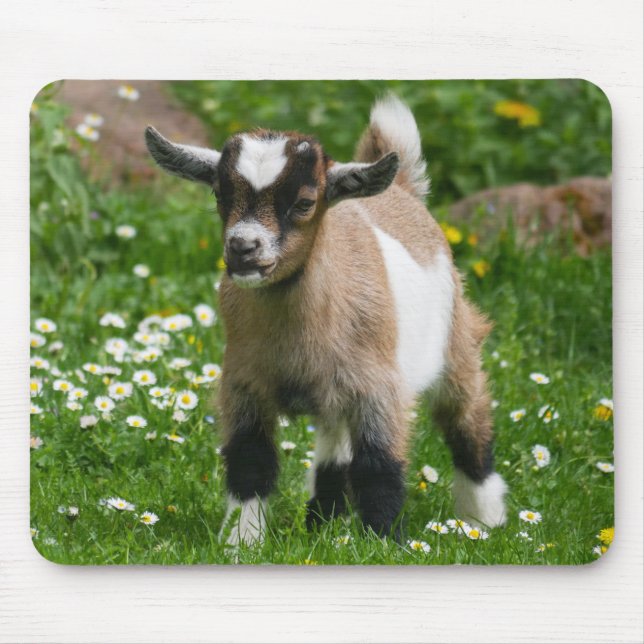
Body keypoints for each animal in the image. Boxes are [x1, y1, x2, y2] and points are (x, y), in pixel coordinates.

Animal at [145, 94, 507, 546]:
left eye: (304, 202)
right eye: (219, 194)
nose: (243, 248)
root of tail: (403, 190)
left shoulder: (379, 388)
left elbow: (379, 466)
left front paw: (384, 542)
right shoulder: (243, 383)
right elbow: (251, 461)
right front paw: (241, 542)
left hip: (455, 344)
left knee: (467, 423)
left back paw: (483, 521)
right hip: (335, 394)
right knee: (335, 447)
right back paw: (323, 521)